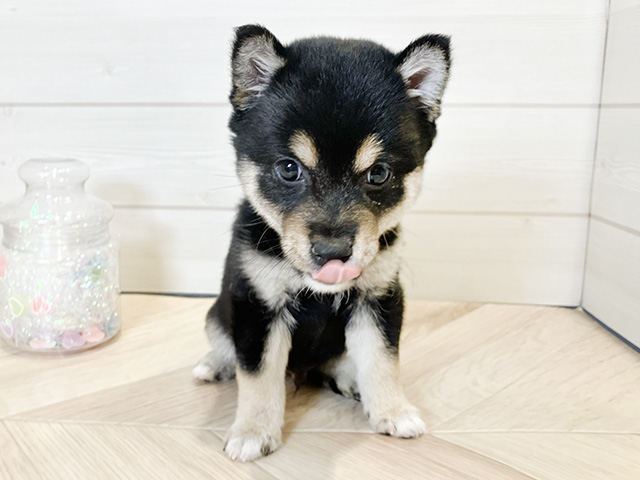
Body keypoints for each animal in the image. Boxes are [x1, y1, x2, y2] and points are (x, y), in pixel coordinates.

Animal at [192, 25, 452, 462]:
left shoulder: (379, 299)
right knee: (227, 347)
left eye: (379, 174)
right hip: (217, 312)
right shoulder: (258, 305)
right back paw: (215, 365)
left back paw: (348, 379)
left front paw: (393, 410)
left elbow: (382, 361)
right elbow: (258, 375)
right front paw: (253, 431)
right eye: (289, 168)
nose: (333, 253)